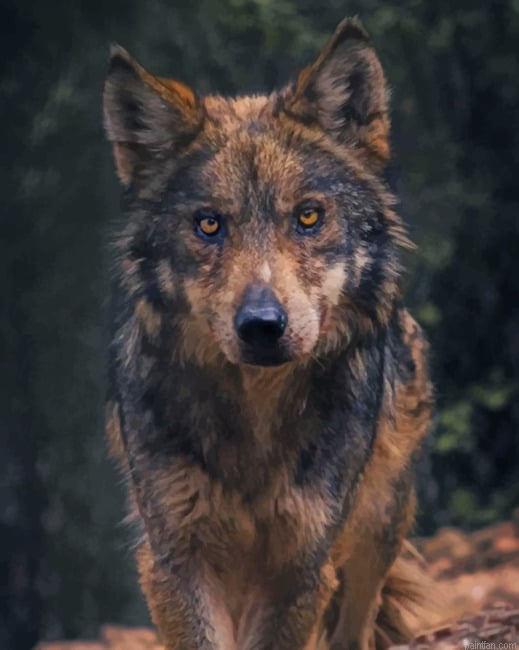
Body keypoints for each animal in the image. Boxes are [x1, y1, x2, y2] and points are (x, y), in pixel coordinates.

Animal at [103, 16, 433, 650]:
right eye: (209, 224)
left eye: (308, 216)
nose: (261, 326)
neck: (255, 423)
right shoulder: (177, 560)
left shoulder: (299, 567)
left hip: (374, 531)